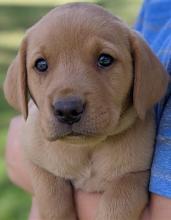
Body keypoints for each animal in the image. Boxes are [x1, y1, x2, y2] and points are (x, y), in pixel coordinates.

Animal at [3, 2, 169, 220]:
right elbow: (52, 196)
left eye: (105, 60)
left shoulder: (136, 175)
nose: (67, 110)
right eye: (41, 64)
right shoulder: (35, 160)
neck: (86, 149)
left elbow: (118, 202)